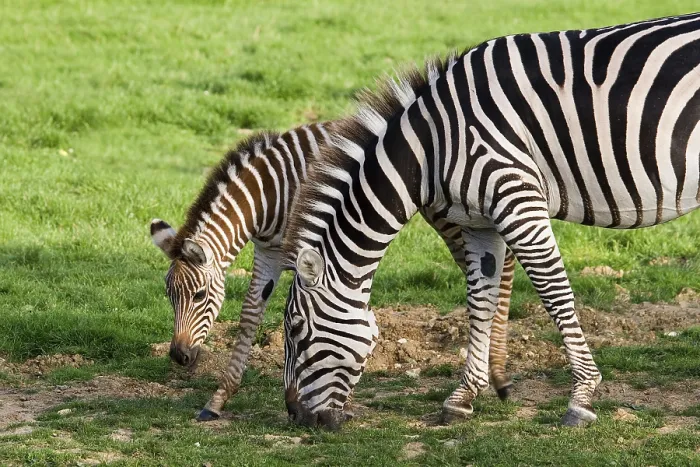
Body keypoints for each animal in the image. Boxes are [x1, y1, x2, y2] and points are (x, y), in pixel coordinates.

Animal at [149, 122, 516, 422]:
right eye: (169, 296)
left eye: (199, 295)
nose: (179, 356)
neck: (269, 192)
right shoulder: (268, 252)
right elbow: (252, 313)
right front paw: (219, 398)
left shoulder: (307, 251)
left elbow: (304, 318)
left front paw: (309, 400)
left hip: (451, 216)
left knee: (501, 269)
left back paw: (494, 375)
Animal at [281, 12, 700, 429]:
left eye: (296, 330)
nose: (296, 416)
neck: (431, 147)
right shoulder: (479, 222)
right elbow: (480, 299)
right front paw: (463, 397)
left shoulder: (517, 197)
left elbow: (554, 292)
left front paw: (582, 395)